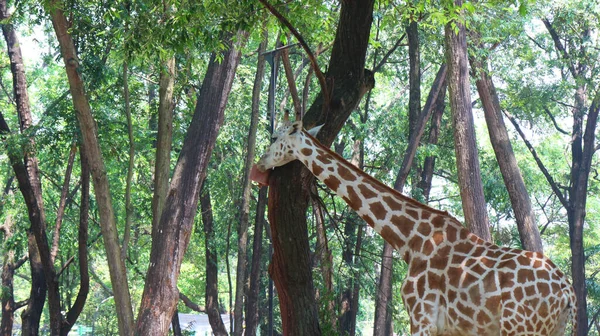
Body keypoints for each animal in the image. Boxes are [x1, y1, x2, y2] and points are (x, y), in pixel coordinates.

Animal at [253, 119, 576, 336]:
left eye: (273, 136)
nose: (259, 166)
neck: (408, 238)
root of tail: (568, 292)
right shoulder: (447, 328)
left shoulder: (422, 318)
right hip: (551, 330)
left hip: (520, 327)